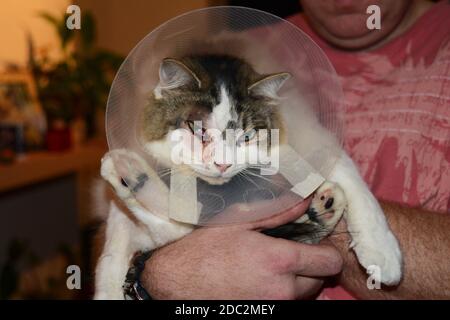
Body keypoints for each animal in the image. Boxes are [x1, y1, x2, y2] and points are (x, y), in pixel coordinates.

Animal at [93, 53, 402, 300]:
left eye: (247, 136)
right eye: (198, 129)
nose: (222, 164)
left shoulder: (308, 134)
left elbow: (348, 176)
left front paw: (382, 250)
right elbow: (122, 242)